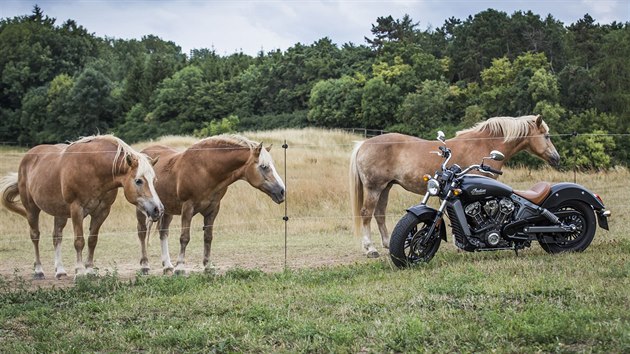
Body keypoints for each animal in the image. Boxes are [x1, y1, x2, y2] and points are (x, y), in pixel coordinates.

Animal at [0, 136, 163, 280]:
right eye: (138, 181)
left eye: (154, 180)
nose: (158, 209)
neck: (93, 169)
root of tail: (28, 157)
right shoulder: (77, 209)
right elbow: (79, 241)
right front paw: (79, 272)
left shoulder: (102, 211)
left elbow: (92, 240)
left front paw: (90, 270)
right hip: (31, 208)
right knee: (35, 236)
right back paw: (39, 271)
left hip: (60, 213)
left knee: (57, 236)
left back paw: (60, 271)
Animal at [139, 134, 288, 276]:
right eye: (264, 166)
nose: (281, 191)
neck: (205, 169)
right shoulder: (188, 208)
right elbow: (184, 238)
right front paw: (180, 268)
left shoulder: (213, 209)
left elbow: (208, 237)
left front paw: (208, 266)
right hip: (143, 210)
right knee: (142, 234)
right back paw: (145, 266)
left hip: (166, 211)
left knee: (163, 233)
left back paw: (167, 266)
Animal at [350, 115, 564, 258]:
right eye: (546, 136)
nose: (557, 158)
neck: (485, 145)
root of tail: (363, 144)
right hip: (374, 188)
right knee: (366, 214)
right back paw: (371, 249)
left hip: (385, 187)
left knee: (379, 214)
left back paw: (387, 244)